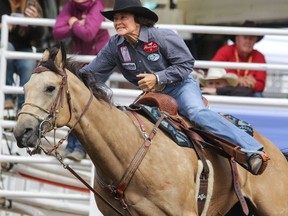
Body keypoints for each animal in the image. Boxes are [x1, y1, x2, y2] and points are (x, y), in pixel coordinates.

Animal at [12, 44, 288, 215]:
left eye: (50, 88)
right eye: (24, 88)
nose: (20, 132)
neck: (129, 152)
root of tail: (275, 152)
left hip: (276, 207)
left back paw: (254, 158)